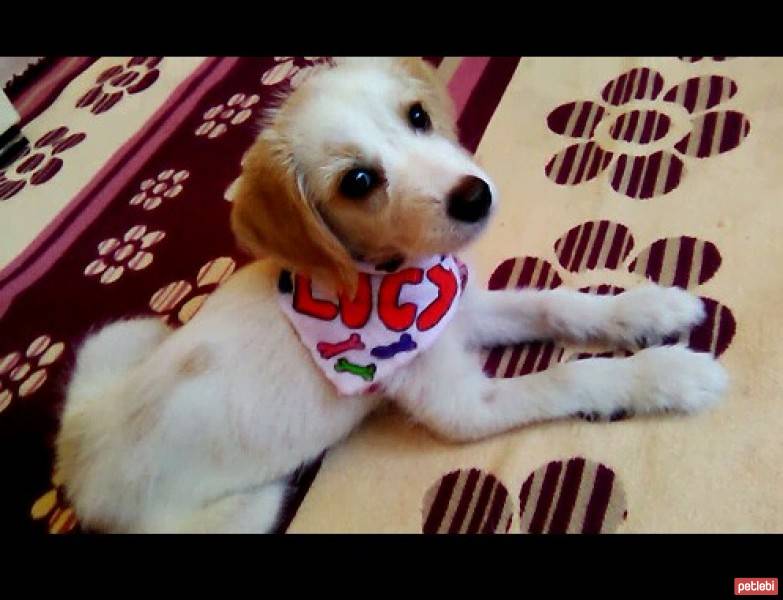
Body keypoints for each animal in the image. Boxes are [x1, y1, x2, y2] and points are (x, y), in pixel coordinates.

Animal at [55, 58, 728, 532]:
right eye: (357, 181)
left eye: (418, 117)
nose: (475, 196)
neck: (385, 281)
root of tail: (75, 459)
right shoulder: (463, 407)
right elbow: (568, 378)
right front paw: (669, 376)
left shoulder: (457, 310)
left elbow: (553, 302)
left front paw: (649, 308)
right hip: (246, 508)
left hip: (124, 335)